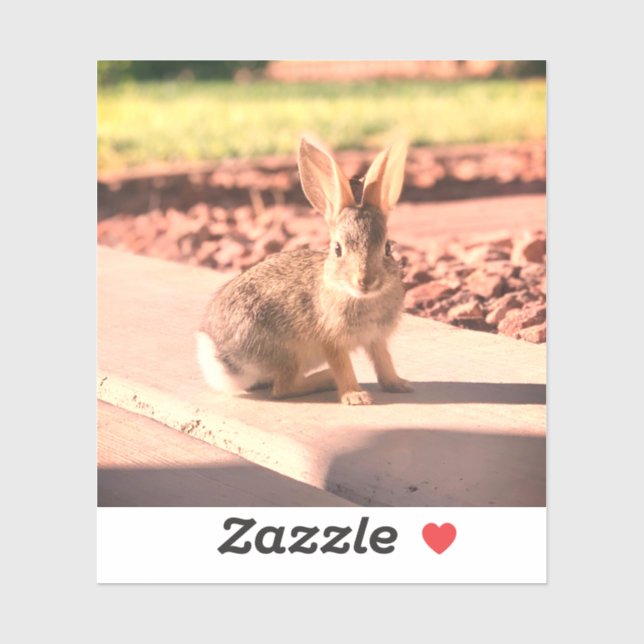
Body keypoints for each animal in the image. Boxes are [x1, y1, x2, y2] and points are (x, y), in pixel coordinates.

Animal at [196, 137, 412, 405]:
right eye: (337, 249)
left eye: (388, 248)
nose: (364, 281)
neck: (360, 297)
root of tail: (224, 358)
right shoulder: (331, 341)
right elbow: (343, 366)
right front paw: (355, 397)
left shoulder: (376, 338)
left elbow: (384, 361)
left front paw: (399, 384)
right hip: (287, 352)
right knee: (283, 389)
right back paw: (325, 378)